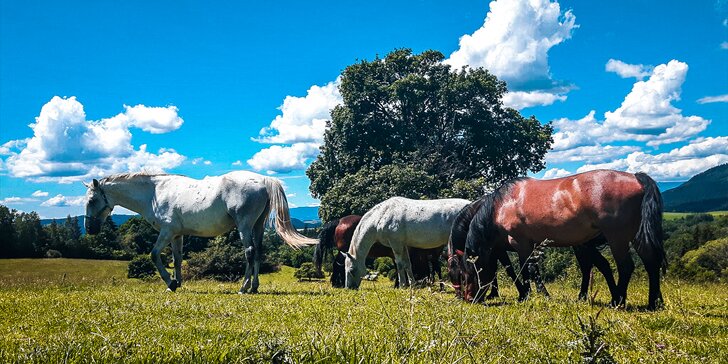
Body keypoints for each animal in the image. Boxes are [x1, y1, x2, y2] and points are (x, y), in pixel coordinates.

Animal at [82, 171, 316, 292]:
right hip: (257, 226)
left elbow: (154, 255)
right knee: (258, 252)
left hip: (245, 226)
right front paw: (176, 283)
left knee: (249, 252)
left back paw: (243, 287)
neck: (155, 192)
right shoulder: (177, 235)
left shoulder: (166, 232)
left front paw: (169, 282)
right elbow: (177, 259)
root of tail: (264, 180)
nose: (90, 229)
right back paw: (254, 287)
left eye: (92, 200)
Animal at [312, 215, 444, 288]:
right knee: (337, 265)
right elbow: (398, 267)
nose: (422, 283)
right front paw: (398, 284)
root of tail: (339, 221)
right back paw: (336, 283)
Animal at [342, 198, 470, 288]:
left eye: (352, 270)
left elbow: (399, 264)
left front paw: (402, 285)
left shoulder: (396, 244)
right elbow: (407, 264)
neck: (381, 216)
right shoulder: (403, 245)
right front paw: (412, 284)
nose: (349, 288)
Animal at [460, 171, 664, 310]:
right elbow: (532, 269)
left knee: (626, 266)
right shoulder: (532, 244)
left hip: (617, 238)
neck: (503, 203)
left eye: (471, 271)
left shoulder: (521, 243)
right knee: (651, 262)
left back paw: (617, 300)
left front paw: (529, 295)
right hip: (636, 237)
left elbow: (527, 269)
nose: (469, 298)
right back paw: (654, 303)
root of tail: (636, 178)